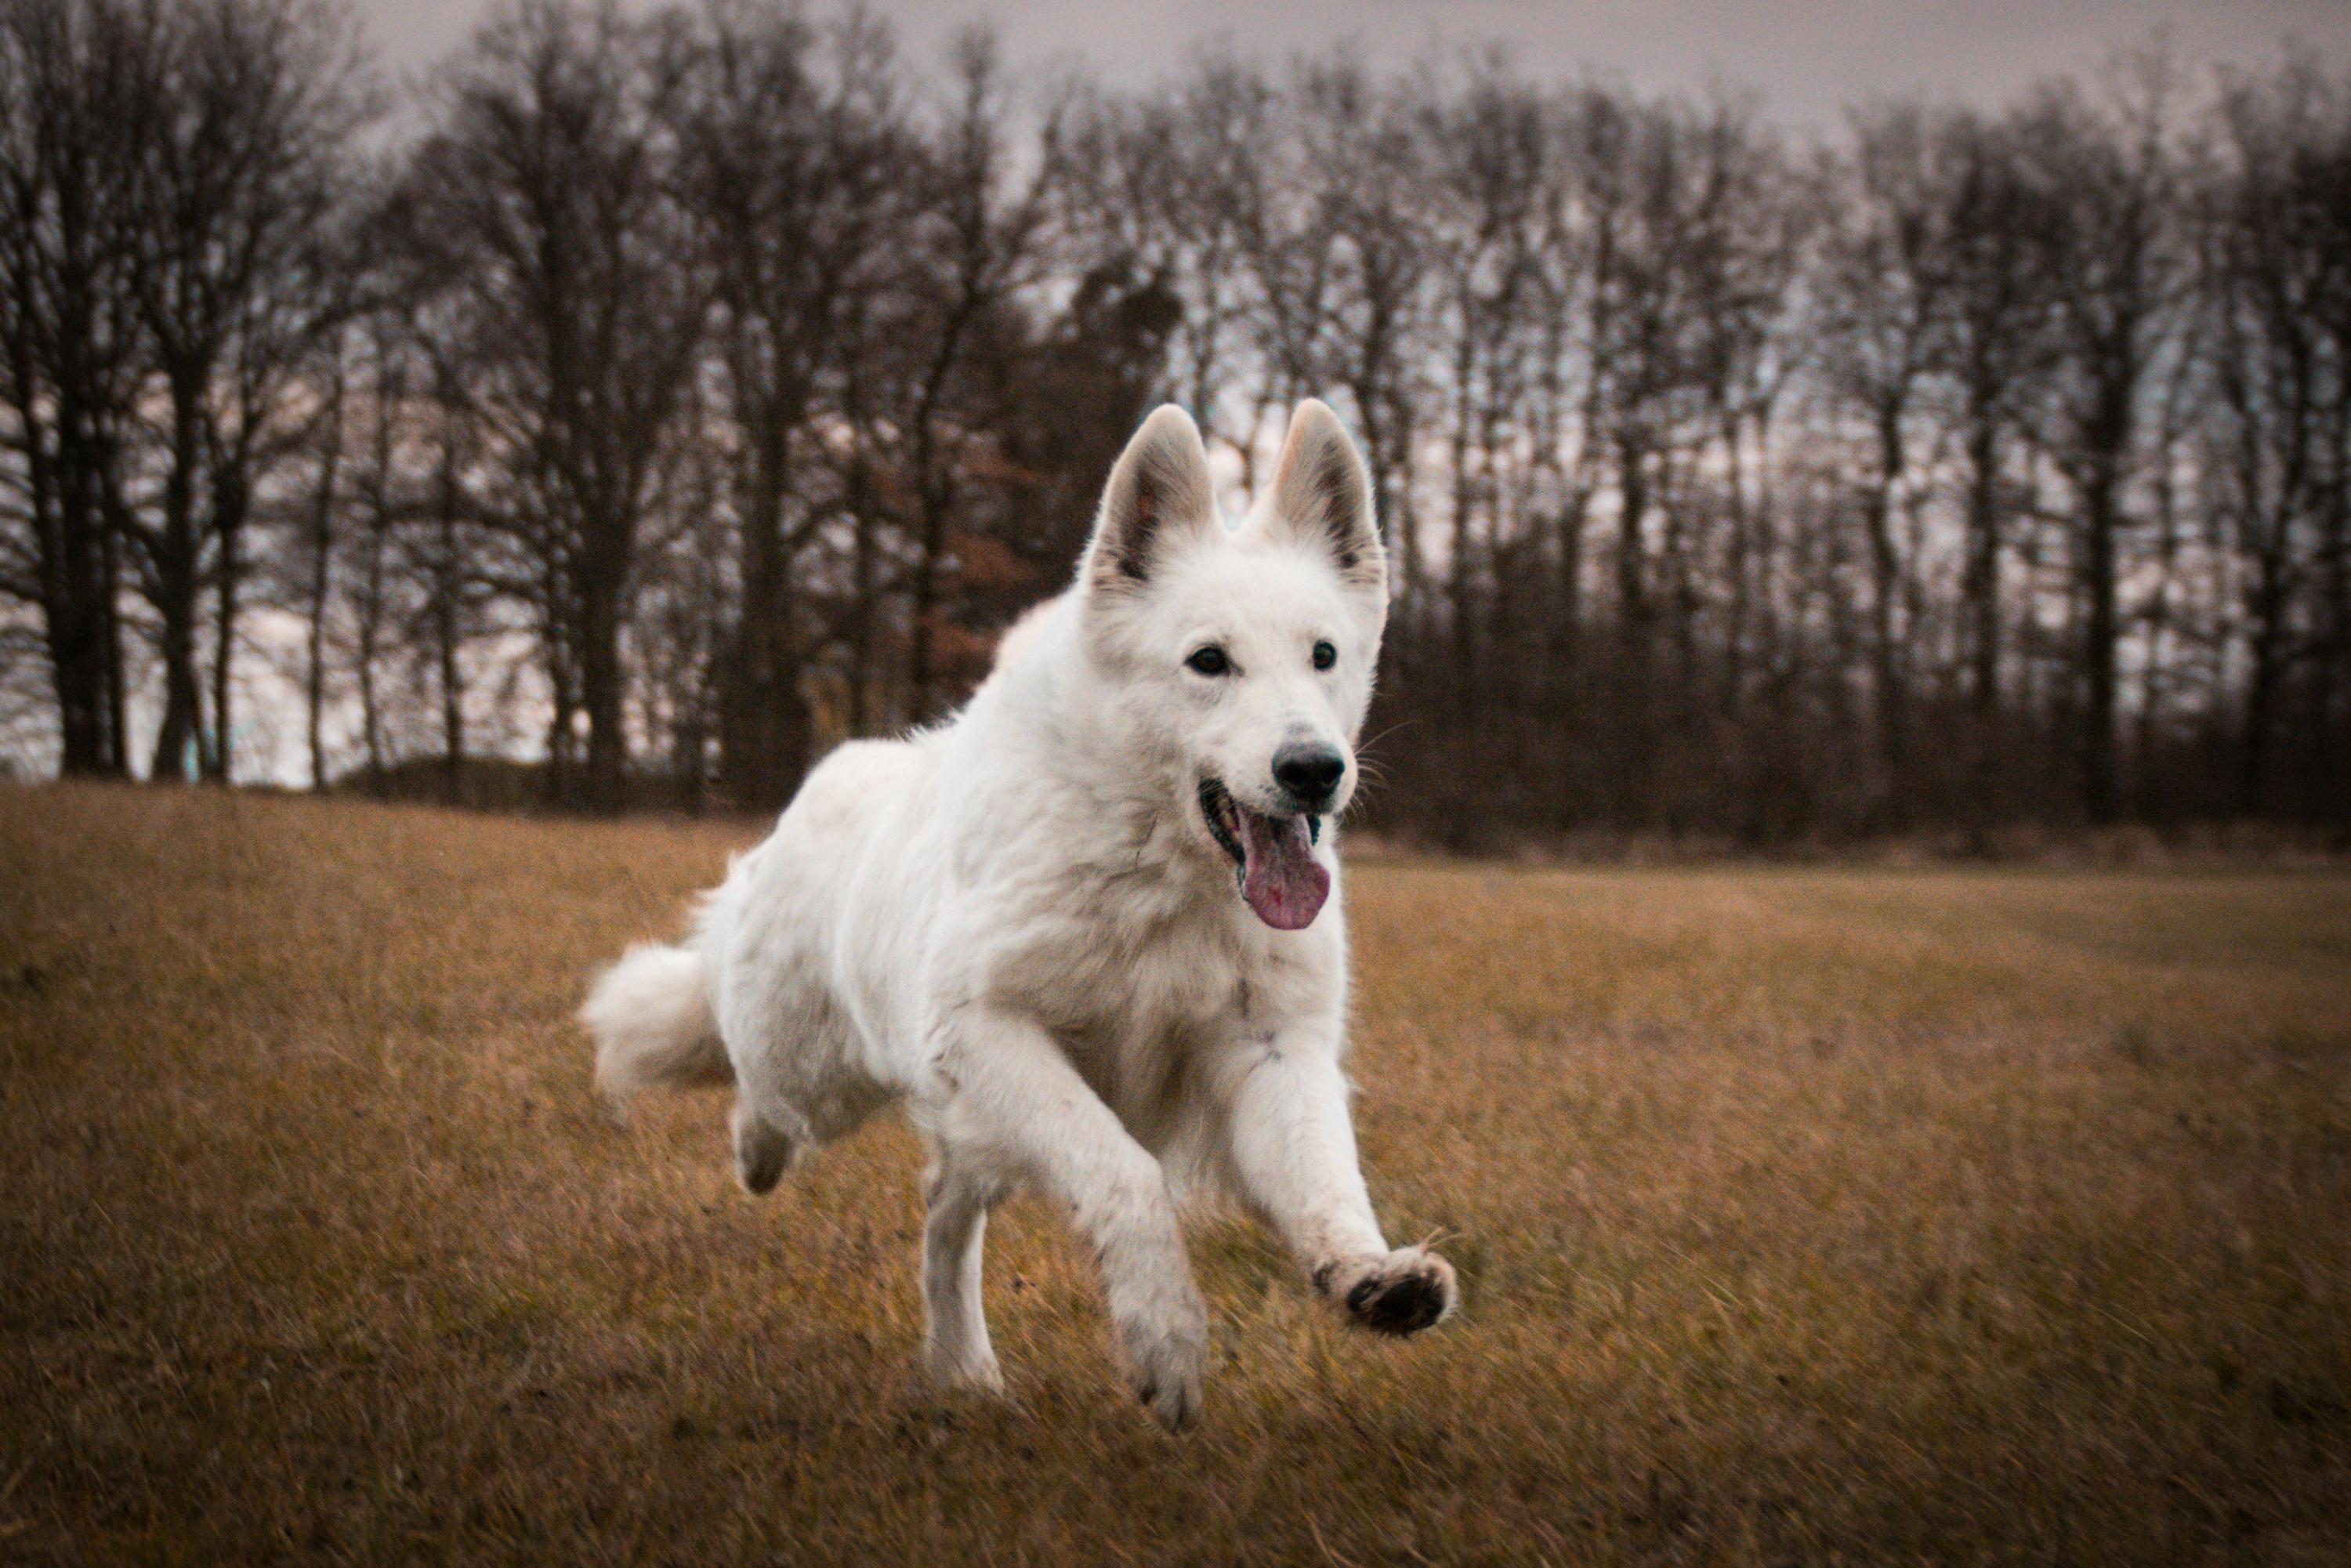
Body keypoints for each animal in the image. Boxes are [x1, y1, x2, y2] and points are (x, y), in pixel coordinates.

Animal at [583, 400, 1448, 1429]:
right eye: (1209, 662)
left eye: (1323, 656)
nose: (1314, 769)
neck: (1159, 869)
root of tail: (826, 787)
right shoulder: (992, 1034)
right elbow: (1127, 1174)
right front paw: (1165, 1338)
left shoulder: (1270, 1051)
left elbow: (1326, 1181)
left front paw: (1369, 1277)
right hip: (813, 1072)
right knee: (750, 1075)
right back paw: (756, 1151)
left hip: (968, 1128)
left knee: (943, 1217)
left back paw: (963, 1367)